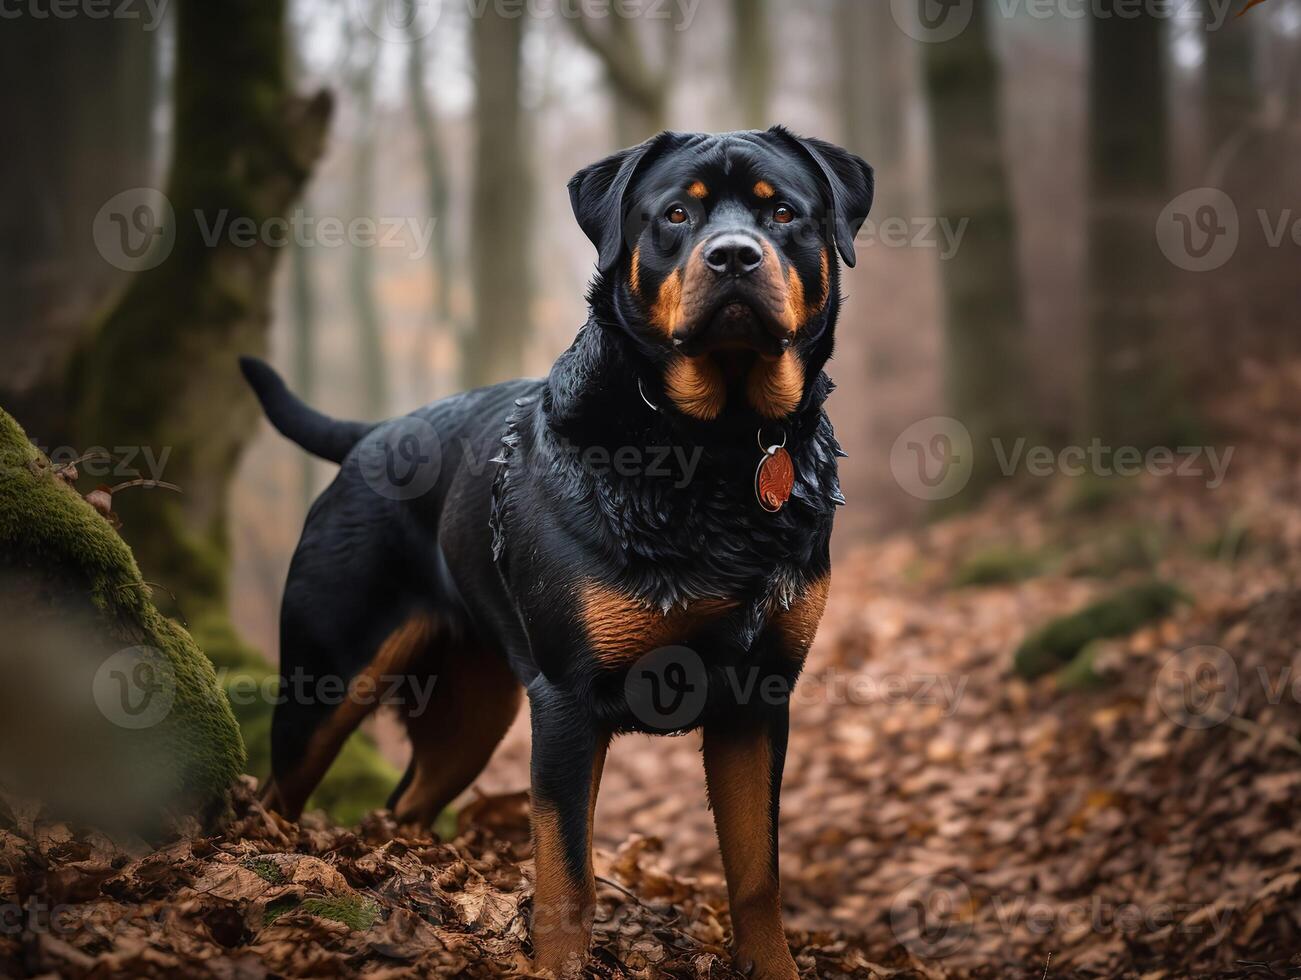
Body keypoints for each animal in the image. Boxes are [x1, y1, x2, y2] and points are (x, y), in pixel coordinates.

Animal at [244, 126, 874, 973]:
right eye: (676, 214)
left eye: (783, 214)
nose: (734, 256)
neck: (713, 447)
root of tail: (372, 434)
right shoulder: (570, 700)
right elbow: (567, 877)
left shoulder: (757, 699)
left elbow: (756, 876)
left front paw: (772, 967)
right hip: (328, 676)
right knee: (275, 793)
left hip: (473, 713)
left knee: (404, 806)